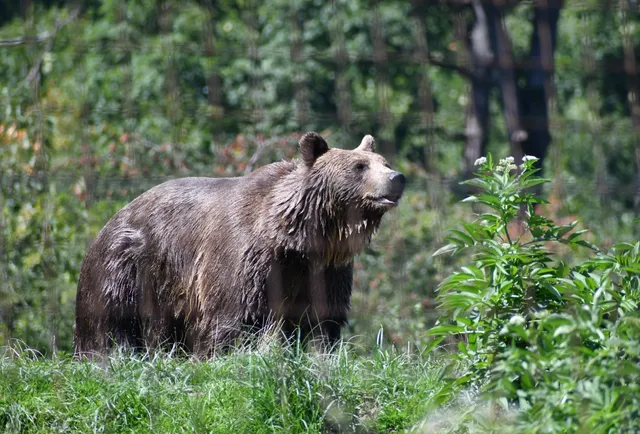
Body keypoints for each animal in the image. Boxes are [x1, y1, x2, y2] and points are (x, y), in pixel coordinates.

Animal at [74, 132, 405, 358]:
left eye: (384, 162)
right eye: (359, 166)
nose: (397, 177)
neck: (295, 240)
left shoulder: (325, 271)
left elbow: (322, 321)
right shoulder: (242, 259)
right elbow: (232, 319)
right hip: (126, 267)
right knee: (108, 323)